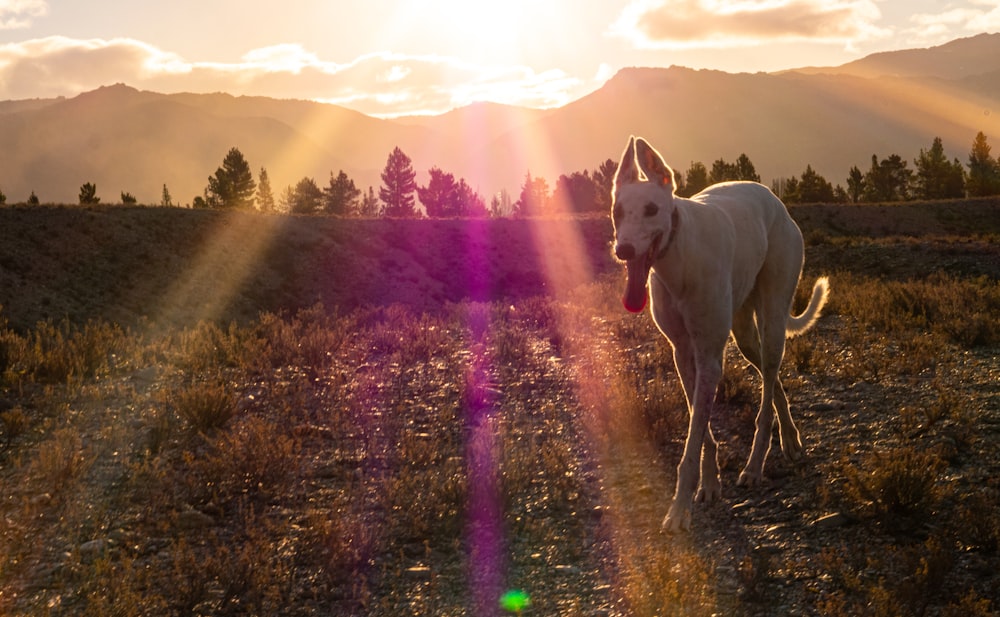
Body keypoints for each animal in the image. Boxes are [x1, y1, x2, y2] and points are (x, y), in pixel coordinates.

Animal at [608, 137, 828, 532]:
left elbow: (693, 440)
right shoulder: (684, 354)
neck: (678, 256)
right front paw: (709, 485)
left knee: (768, 387)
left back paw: (755, 464)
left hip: (772, 318)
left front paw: (678, 509)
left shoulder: (710, 356)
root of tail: (773, 199)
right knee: (773, 382)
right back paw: (790, 437)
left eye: (651, 209)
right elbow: (702, 428)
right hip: (744, 334)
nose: (624, 250)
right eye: (617, 211)